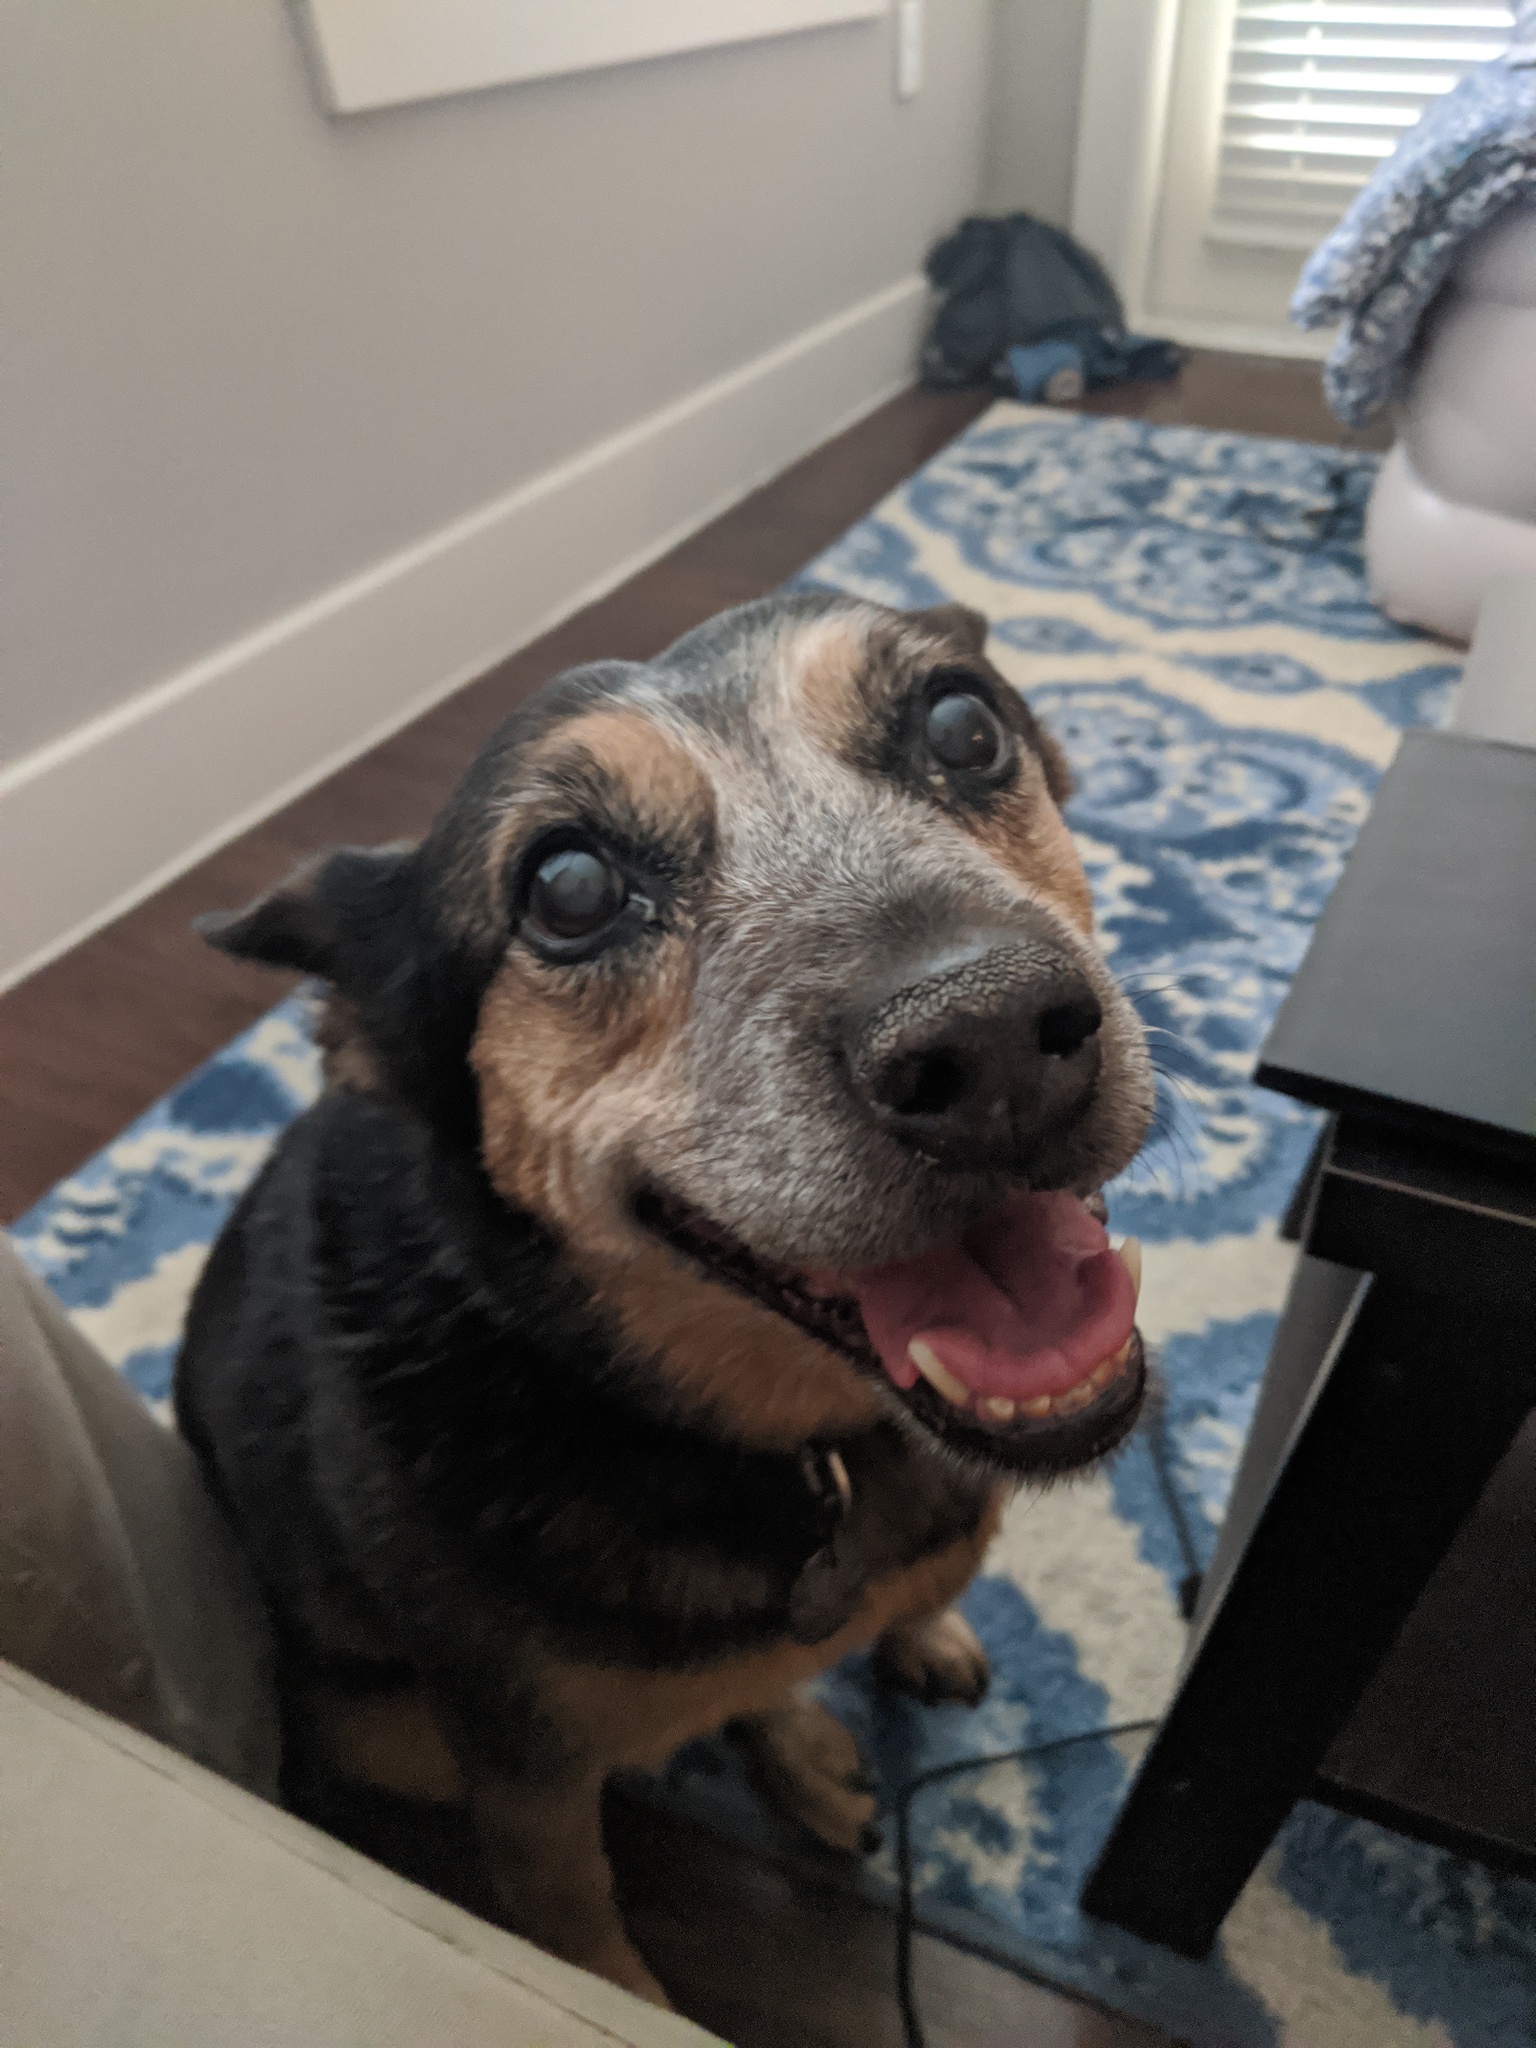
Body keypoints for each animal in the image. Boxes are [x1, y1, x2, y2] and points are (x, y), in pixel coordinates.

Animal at [175, 591, 1154, 2006]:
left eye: (966, 727)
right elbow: (578, 1925)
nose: (993, 1039)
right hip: (383, 1725)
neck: (799, 1452)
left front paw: (916, 1635)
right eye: (568, 887)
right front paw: (619, 1989)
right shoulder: (520, 1773)